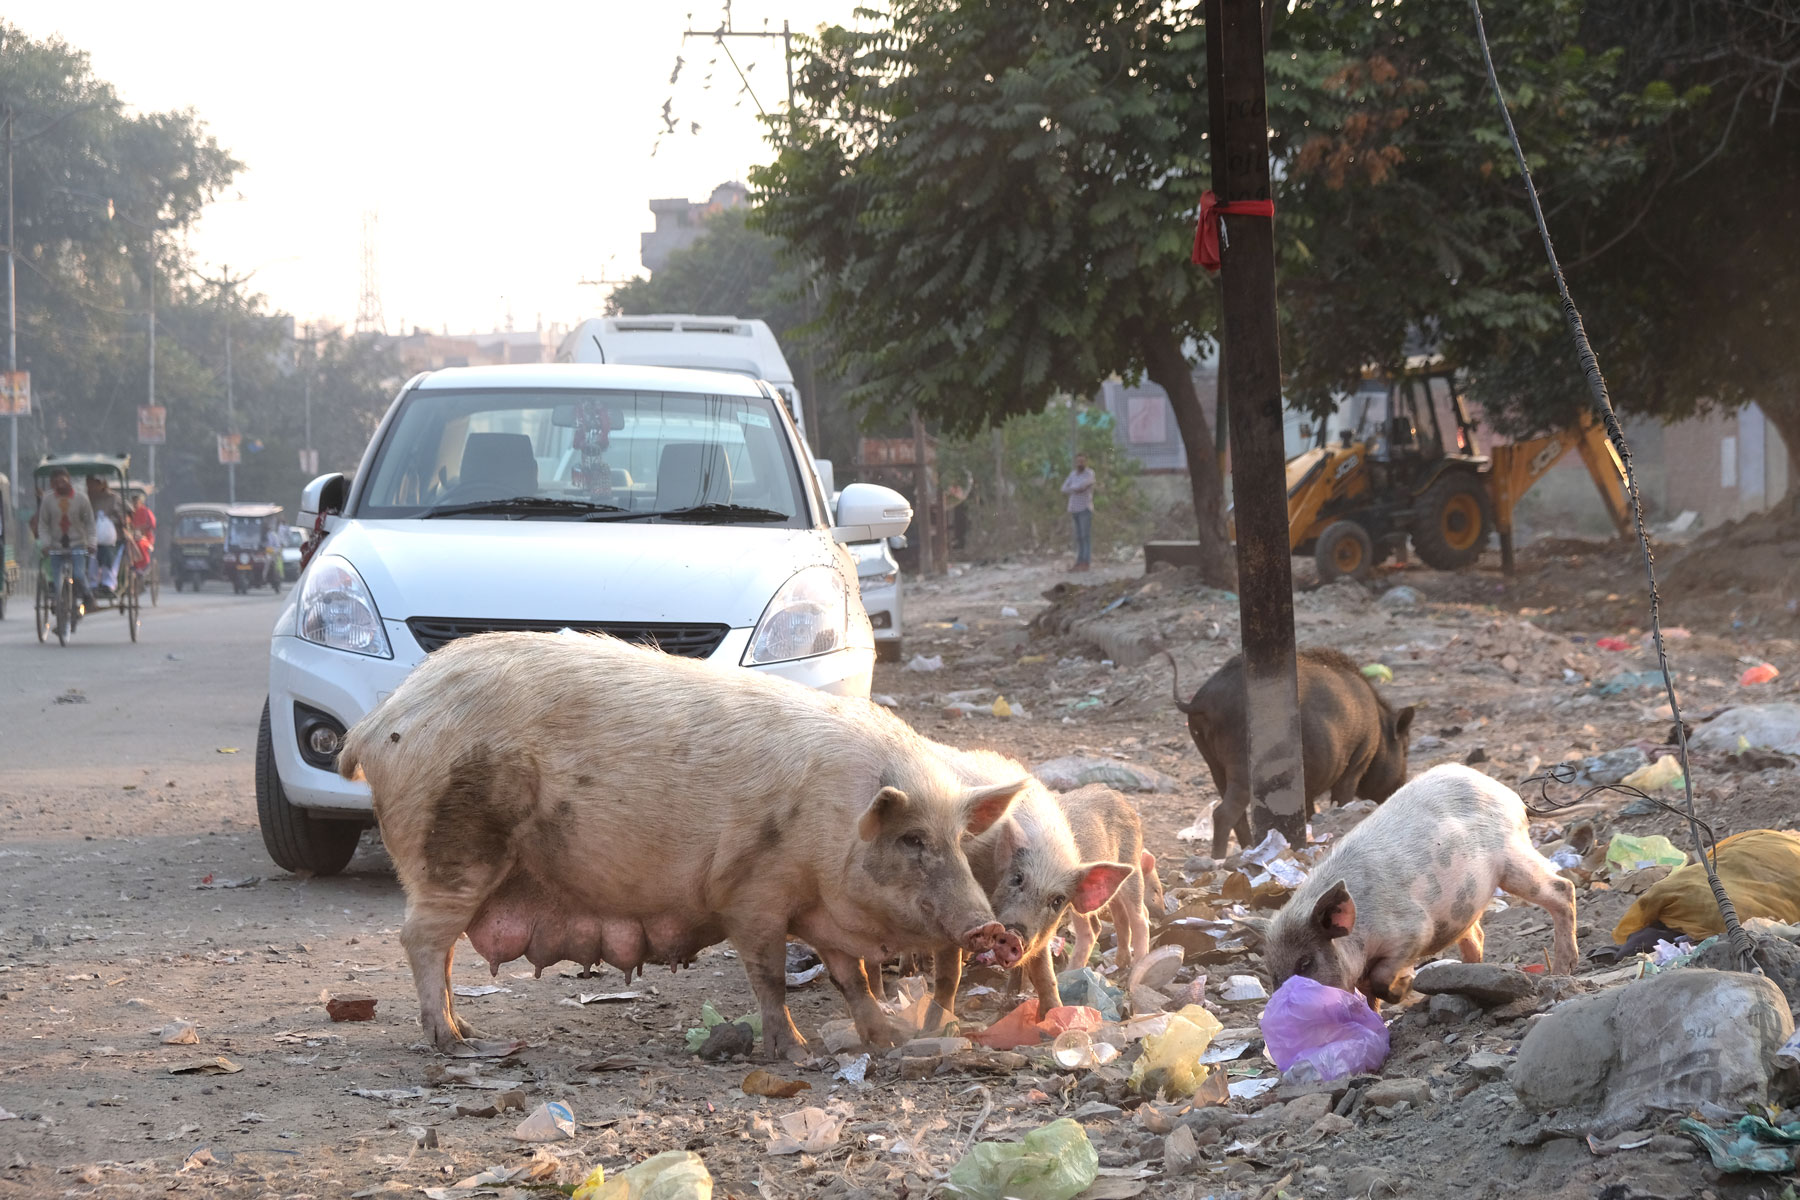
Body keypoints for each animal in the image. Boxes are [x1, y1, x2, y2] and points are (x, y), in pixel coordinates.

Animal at [338, 629, 1029, 1057]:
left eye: (958, 840)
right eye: (912, 839)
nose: (990, 927)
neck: (830, 822)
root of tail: (378, 722)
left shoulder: (819, 909)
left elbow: (851, 976)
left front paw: (883, 1039)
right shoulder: (752, 892)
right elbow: (769, 976)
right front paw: (797, 1056)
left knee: (443, 948)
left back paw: (465, 1027)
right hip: (451, 849)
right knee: (421, 940)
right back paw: (456, 1041)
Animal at [1173, 651, 1411, 859]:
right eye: (1405, 748)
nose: (1402, 783)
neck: (1379, 728)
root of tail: (1201, 701)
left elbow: (1309, 810)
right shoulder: (1356, 763)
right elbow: (1341, 800)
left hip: (1213, 764)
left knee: (1235, 815)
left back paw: (1246, 849)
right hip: (1241, 766)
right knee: (1223, 813)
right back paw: (1219, 859)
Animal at [1267, 770, 1576, 1007]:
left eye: (1305, 963)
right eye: (1273, 975)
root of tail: (1510, 795)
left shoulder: (1413, 931)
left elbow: (1381, 980)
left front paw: (1404, 988)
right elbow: (1368, 996)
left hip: (1512, 858)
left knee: (1563, 887)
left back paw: (1562, 971)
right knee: (1476, 935)